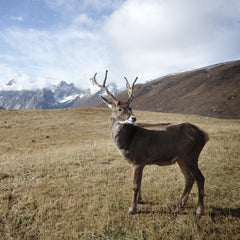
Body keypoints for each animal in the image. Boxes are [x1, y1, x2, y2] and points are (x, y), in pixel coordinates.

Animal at [90, 70, 208, 218]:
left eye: (130, 107)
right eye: (119, 109)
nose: (133, 118)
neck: (127, 141)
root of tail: (204, 135)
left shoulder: (139, 159)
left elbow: (135, 185)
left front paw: (131, 209)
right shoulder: (136, 163)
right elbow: (139, 184)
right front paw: (139, 201)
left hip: (191, 155)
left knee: (200, 178)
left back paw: (199, 210)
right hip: (181, 158)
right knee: (189, 178)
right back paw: (180, 204)